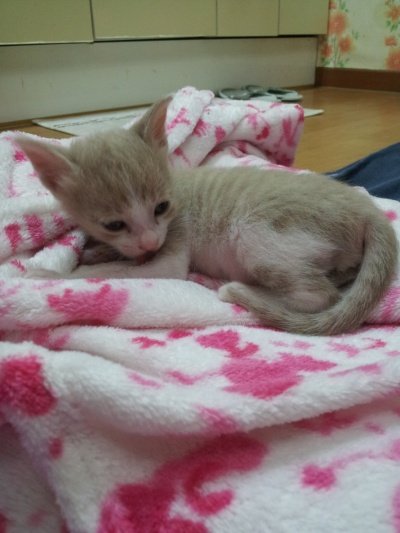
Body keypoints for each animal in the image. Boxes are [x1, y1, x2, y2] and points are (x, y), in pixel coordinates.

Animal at [16, 97, 398, 335]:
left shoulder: (172, 248)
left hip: (257, 232)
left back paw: (242, 291)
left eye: (161, 207)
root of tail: (366, 208)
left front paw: (48, 274)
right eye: (114, 224)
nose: (151, 240)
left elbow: (120, 272)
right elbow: (121, 256)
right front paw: (99, 251)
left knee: (318, 296)